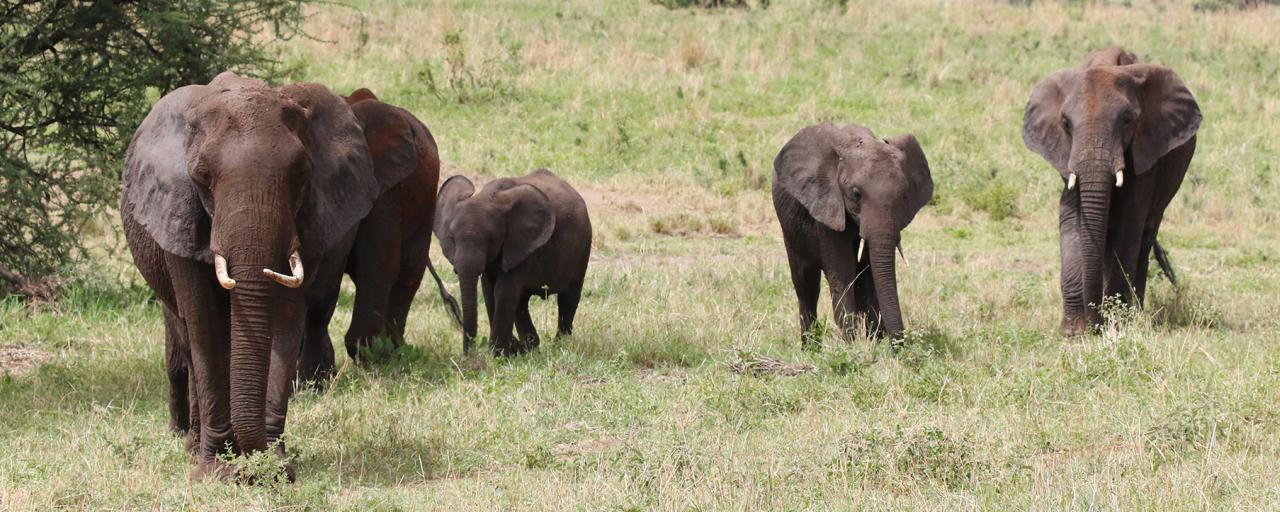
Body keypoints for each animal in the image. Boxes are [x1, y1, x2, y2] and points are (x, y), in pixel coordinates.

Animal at [122, 71, 396, 481]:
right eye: (202, 177)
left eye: (302, 175)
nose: (248, 471)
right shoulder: (178, 215)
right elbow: (203, 323)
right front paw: (216, 469)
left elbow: (286, 320)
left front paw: (276, 465)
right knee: (186, 336)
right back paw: (193, 446)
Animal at [430, 170, 588, 353]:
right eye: (452, 238)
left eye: (492, 239)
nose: (469, 354)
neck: (486, 196)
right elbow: (489, 291)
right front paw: (510, 351)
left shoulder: (522, 245)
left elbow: (503, 291)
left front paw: (498, 354)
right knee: (522, 302)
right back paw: (530, 346)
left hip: (581, 248)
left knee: (569, 298)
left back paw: (559, 345)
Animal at [768, 122, 931, 345]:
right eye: (856, 193)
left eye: (904, 195)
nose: (897, 346)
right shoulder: (828, 206)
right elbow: (842, 272)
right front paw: (851, 346)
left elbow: (870, 276)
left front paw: (874, 344)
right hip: (789, 230)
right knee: (806, 283)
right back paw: (810, 347)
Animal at [1018, 47, 1198, 335]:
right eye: (1065, 123)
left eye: (1127, 120)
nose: (1095, 326)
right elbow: (1071, 219)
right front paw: (1074, 331)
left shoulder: (1144, 152)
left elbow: (1129, 223)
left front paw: (1115, 324)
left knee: (1144, 236)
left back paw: (1134, 313)